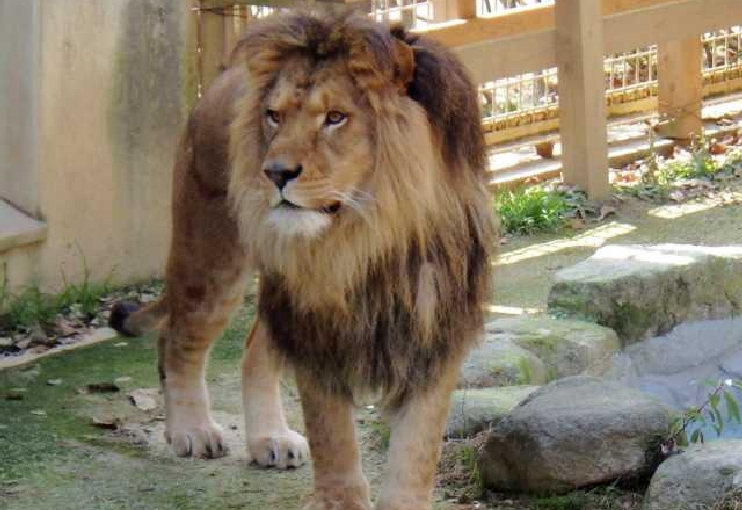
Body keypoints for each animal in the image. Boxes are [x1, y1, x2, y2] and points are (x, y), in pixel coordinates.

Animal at [112, 8, 500, 510]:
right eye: (274, 117)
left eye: (335, 118)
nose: (274, 173)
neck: (367, 238)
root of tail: (221, 78)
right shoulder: (316, 330)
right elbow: (333, 440)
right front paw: (340, 500)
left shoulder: (434, 329)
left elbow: (416, 452)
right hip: (213, 257)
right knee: (177, 340)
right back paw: (192, 429)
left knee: (253, 350)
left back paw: (269, 439)